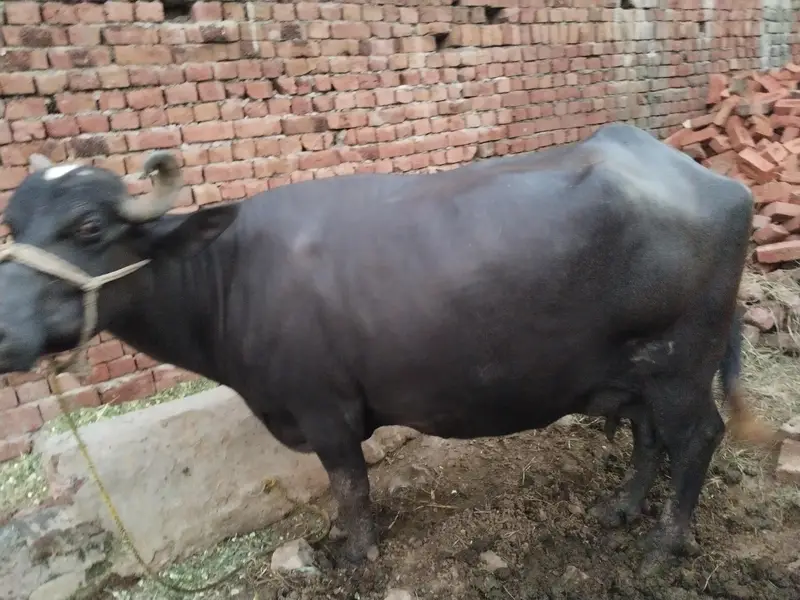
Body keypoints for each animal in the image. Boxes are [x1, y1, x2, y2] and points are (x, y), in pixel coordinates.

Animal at [0, 123, 776, 573]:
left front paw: (356, 552)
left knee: (697, 438)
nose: (6, 333)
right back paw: (621, 509)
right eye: (13, 221)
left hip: (681, 364)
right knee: (649, 436)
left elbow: (350, 487)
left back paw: (663, 547)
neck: (230, 274)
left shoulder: (325, 411)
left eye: (91, 227)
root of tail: (714, 180)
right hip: (639, 368)